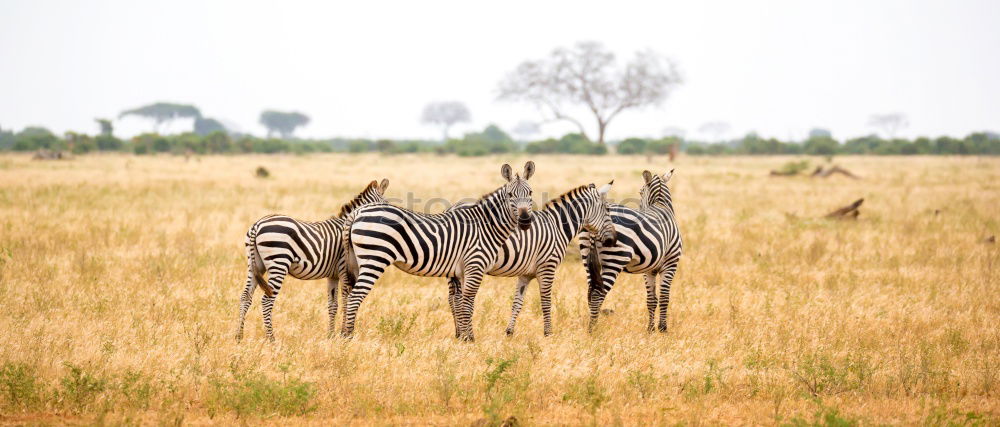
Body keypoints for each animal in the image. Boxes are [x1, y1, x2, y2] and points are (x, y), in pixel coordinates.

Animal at [235, 179, 390, 342]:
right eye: (386, 206)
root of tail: (257, 225)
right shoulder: (343, 268)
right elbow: (346, 300)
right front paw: (343, 334)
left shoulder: (333, 275)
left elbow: (333, 305)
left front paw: (331, 335)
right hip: (279, 263)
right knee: (266, 300)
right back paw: (272, 339)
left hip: (255, 265)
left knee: (245, 297)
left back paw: (239, 336)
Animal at [340, 162, 536, 342]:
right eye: (510, 195)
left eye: (531, 193)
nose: (525, 221)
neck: (485, 226)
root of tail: (356, 212)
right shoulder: (475, 265)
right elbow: (468, 303)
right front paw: (469, 340)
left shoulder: (463, 271)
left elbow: (462, 302)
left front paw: (464, 337)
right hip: (374, 258)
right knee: (354, 297)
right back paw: (349, 338)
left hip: (355, 261)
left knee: (347, 294)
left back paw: (343, 335)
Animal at [446, 181, 616, 338]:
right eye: (607, 210)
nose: (613, 240)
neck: (557, 227)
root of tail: (452, 207)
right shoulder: (547, 267)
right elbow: (546, 302)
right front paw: (548, 334)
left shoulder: (525, 275)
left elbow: (517, 303)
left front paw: (509, 332)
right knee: (457, 299)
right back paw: (462, 334)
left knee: (453, 299)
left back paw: (458, 332)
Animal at [580, 171, 680, 334]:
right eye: (640, 192)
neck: (660, 206)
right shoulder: (671, 263)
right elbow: (665, 297)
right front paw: (663, 329)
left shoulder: (649, 270)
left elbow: (652, 300)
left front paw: (650, 329)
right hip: (614, 259)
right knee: (597, 294)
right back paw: (593, 331)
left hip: (587, 260)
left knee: (590, 292)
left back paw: (591, 327)